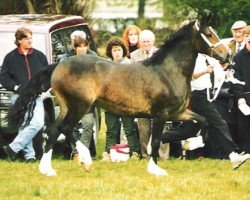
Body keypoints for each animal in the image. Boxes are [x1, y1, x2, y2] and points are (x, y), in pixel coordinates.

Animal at [6, 11, 229, 176]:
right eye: (209, 34)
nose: (227, 55)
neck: (168, 70)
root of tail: (59, 64)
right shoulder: (161, 115)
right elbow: (157, 140)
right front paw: (156, 170)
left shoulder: (178, 113)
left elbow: (203, 122)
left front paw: (192, 144)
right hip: (80, 106)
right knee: (66, 129)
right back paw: (85, 160)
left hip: (67, 107)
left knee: (53, 131)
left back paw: (47, 170)